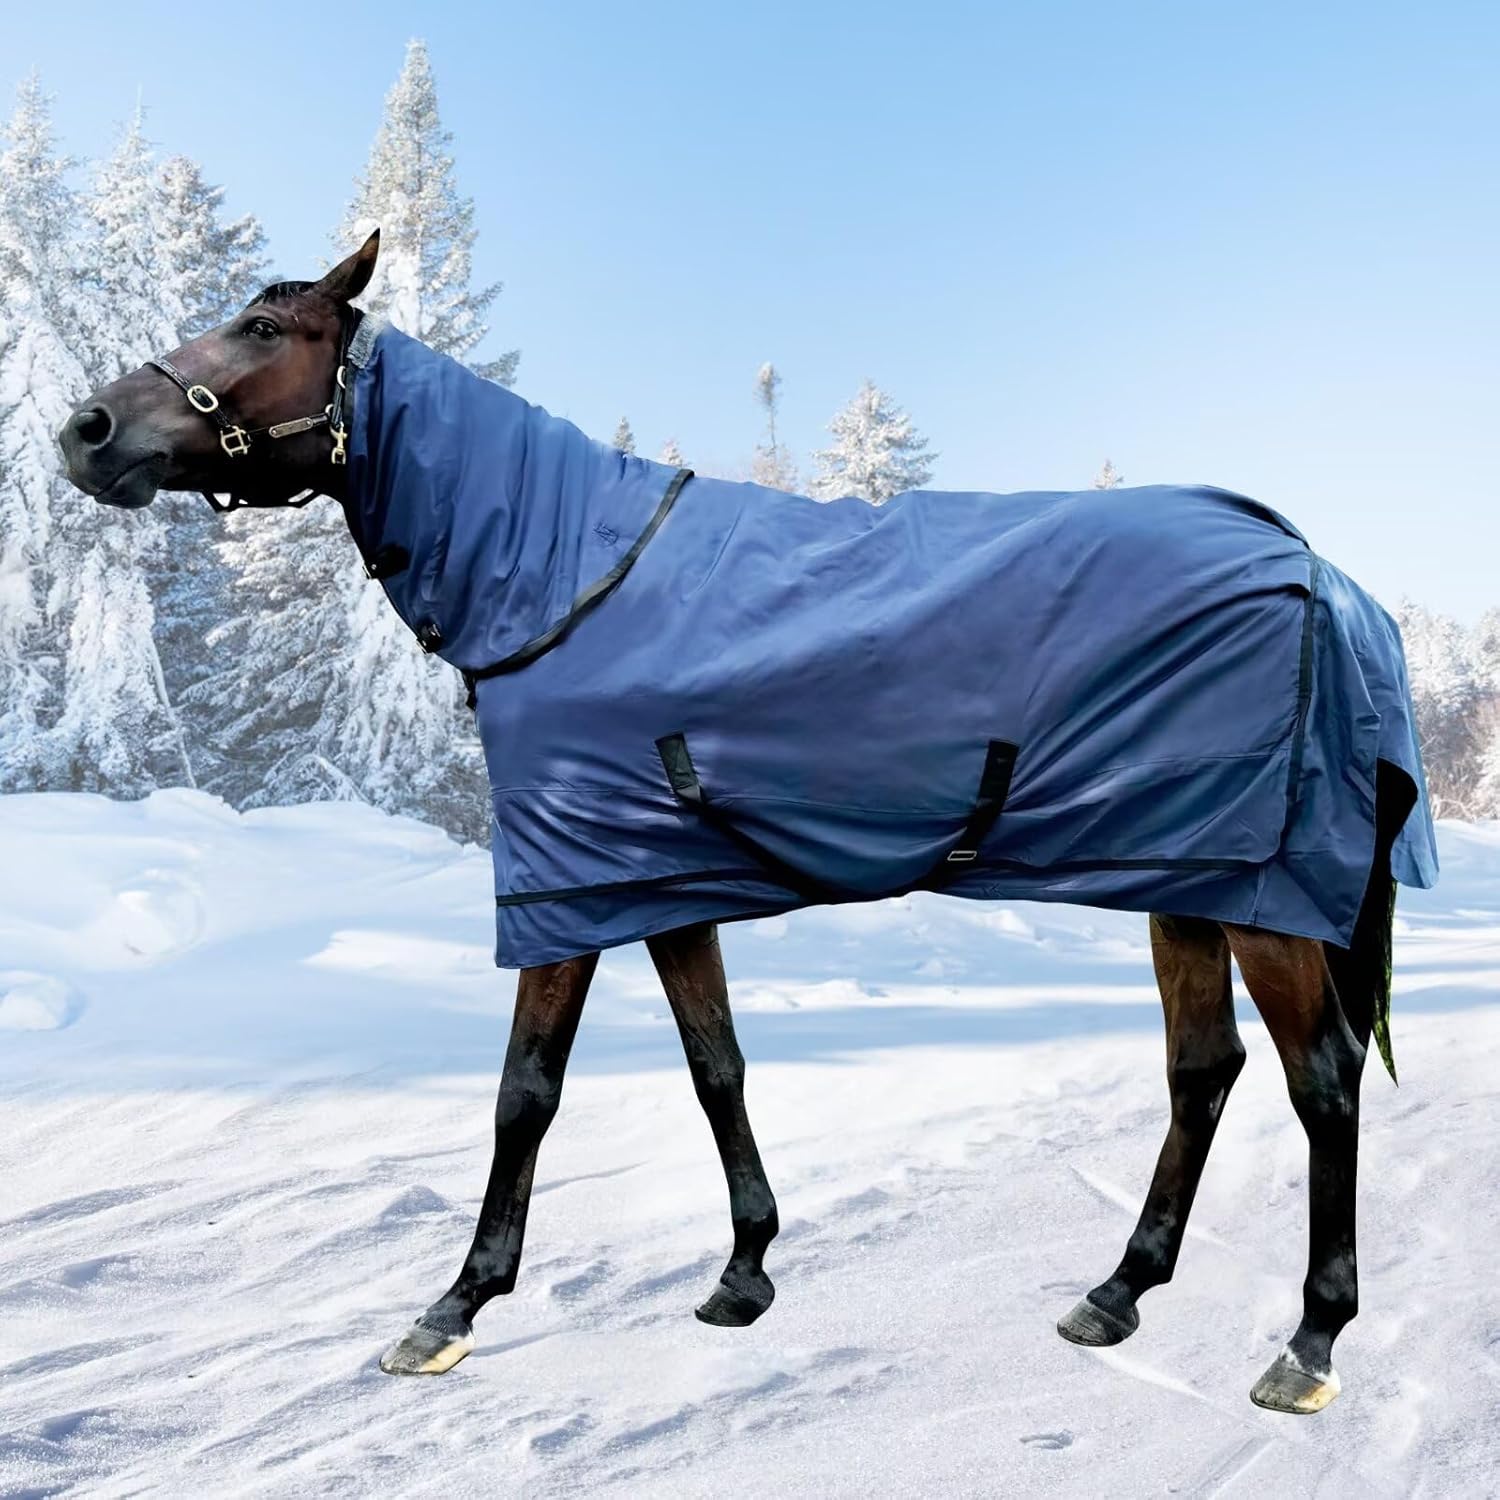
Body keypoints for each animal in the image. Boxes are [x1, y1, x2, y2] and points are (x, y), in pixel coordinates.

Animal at [58, 230, 1435, 1415]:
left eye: (261, 326)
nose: (85, 430)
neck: (565, 576)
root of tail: (1321, 572)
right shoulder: (656, 881)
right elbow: (713, 1063)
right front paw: (745, 1271)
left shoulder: (567, 888)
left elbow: (524, 1091)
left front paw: (455, 1305)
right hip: (1189, 875)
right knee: (1204, 1070)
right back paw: (1116, 1292)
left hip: (1262, 897)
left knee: (1322, 1082)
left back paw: (1310, 1342)